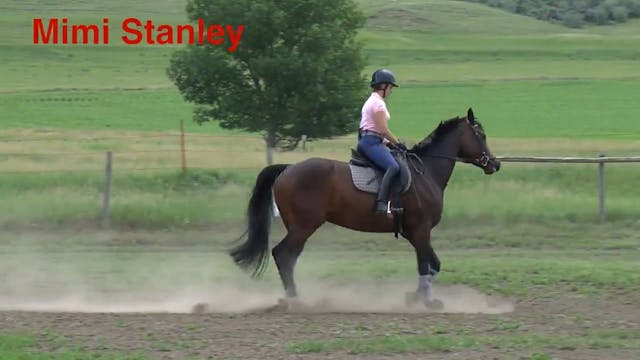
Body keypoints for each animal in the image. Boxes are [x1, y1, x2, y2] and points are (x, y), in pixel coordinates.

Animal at [230, 108, 500, 308]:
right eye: (481, 135)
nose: (495, 164)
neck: (426, 172)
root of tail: (287, 169)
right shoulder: (421, 229)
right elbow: (426, 264)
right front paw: (427, 301)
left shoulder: (414, 232)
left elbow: (432, 264)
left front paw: (415, 297)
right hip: (303, 226)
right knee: (283, 255)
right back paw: (295, 299)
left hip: (301, 227)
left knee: (288, 257)